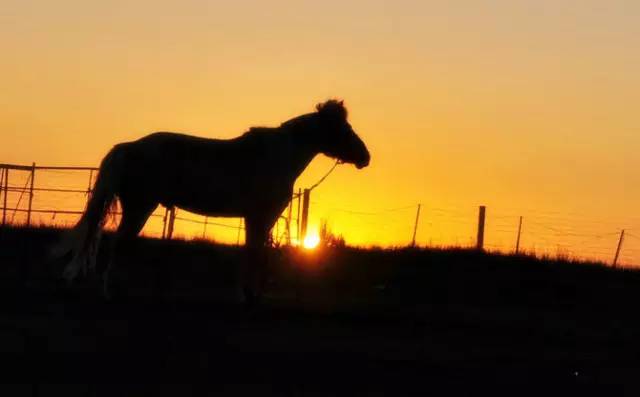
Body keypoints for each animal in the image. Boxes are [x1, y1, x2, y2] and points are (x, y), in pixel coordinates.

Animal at [53, 100, 370, 304]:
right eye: (343, 129)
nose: (365, 157)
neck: (277, 157)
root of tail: (128, 148)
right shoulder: (261, 216)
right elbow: (255, 253)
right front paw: (247, 296)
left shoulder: (256, 219)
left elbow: (253, 252)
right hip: (140, 207)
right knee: (118, 245)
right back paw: (108, 292)